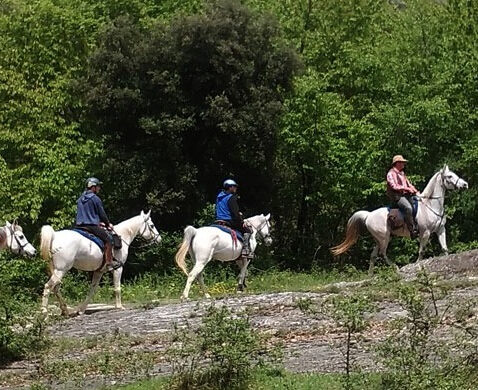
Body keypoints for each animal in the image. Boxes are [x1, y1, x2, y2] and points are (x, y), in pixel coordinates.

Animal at [330, 167, 468, 274]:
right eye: (449, 176)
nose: (465, 184)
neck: (430, 206)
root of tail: (368, 215)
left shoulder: (440, 230)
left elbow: (445, 249)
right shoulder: (425, 233)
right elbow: (421, 251)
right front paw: (417, 265)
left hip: (379, 239)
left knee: (373, 256)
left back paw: (370, 275)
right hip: (384, 238)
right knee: (382, 254)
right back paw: (395, 267)